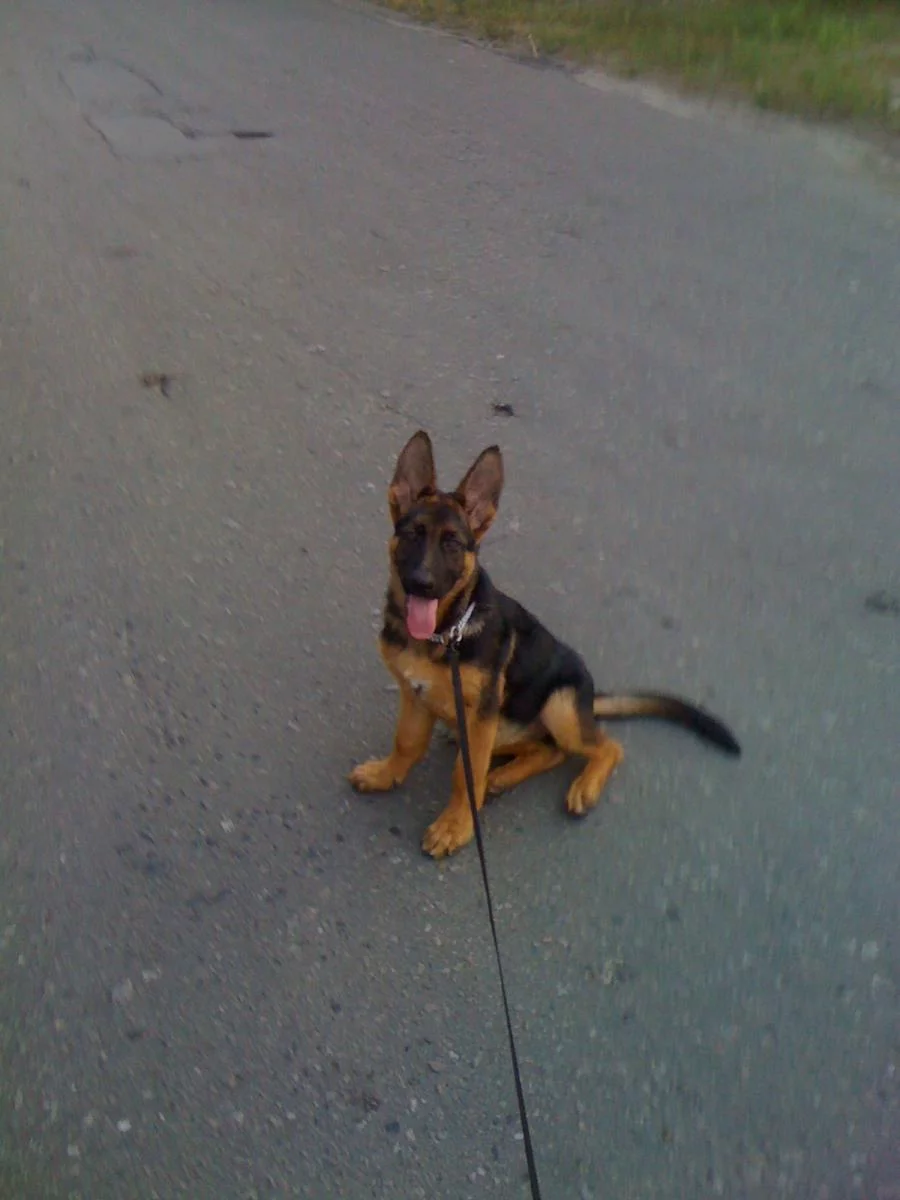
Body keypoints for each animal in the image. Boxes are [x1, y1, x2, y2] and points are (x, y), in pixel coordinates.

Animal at [350, 431, 740, 858]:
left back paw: (580, 784)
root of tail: (590, 699)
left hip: (558, 706)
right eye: (411, 535)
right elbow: (407, 742)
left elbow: (464, 775)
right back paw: (501, 773)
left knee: (601, 746)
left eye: (452, 544)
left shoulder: (481, 710)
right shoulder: (414, 693)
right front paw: (386, 774)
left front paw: (455, 825)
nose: (421, 584)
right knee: (543, 749)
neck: (445, 631)